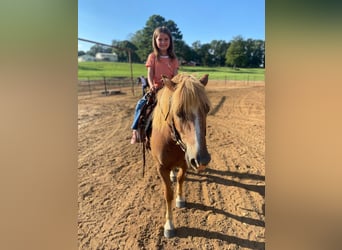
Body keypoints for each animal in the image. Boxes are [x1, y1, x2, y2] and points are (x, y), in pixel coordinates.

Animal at [150, 73, 211, 238]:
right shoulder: (161, 168)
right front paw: (169, 225)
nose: (202, 159)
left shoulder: (185, 163)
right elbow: (167, 194)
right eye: (179, 113)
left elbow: (180, 179)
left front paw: (180, 199)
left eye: (207, 109)